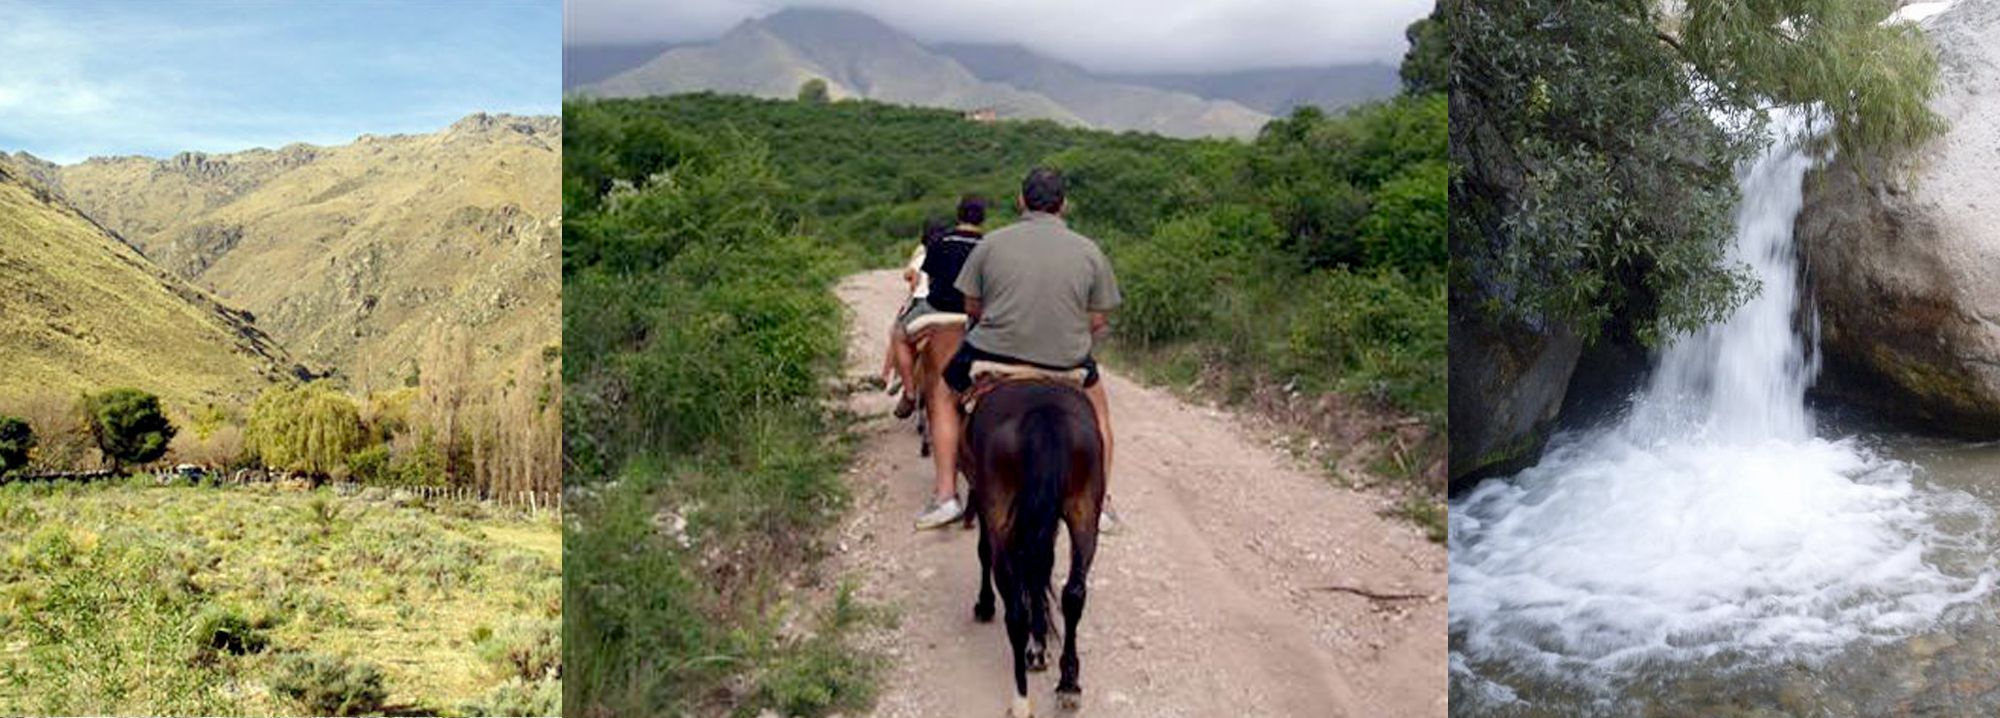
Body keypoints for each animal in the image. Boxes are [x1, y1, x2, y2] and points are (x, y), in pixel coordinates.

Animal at [956, 380, 1104, 716]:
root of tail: (1043, 414)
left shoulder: (984, 504)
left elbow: (985, 553)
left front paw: (984, 605)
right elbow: (1040, 570)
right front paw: (1039, 648)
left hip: (999, 513)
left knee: (1015, 612)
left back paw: (1021, 699)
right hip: (1085, 511)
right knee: (1073, 593)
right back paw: (1068, 684)